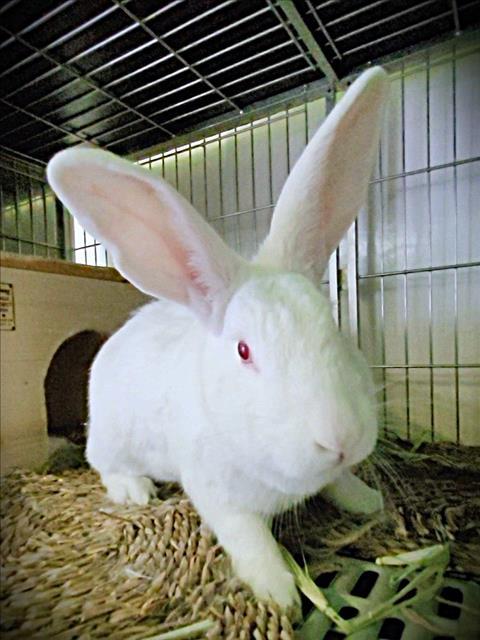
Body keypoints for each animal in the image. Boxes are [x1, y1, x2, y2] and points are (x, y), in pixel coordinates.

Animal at [47, 66, 389, 611]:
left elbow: (339, 482)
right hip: (112, 437)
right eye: (244, 351)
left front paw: (367, 501)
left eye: (333, 326)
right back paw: (134, 489)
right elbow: (250, 538)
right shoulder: (220, 497)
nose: (341, 437)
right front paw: (278, 591)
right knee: (103, 464)